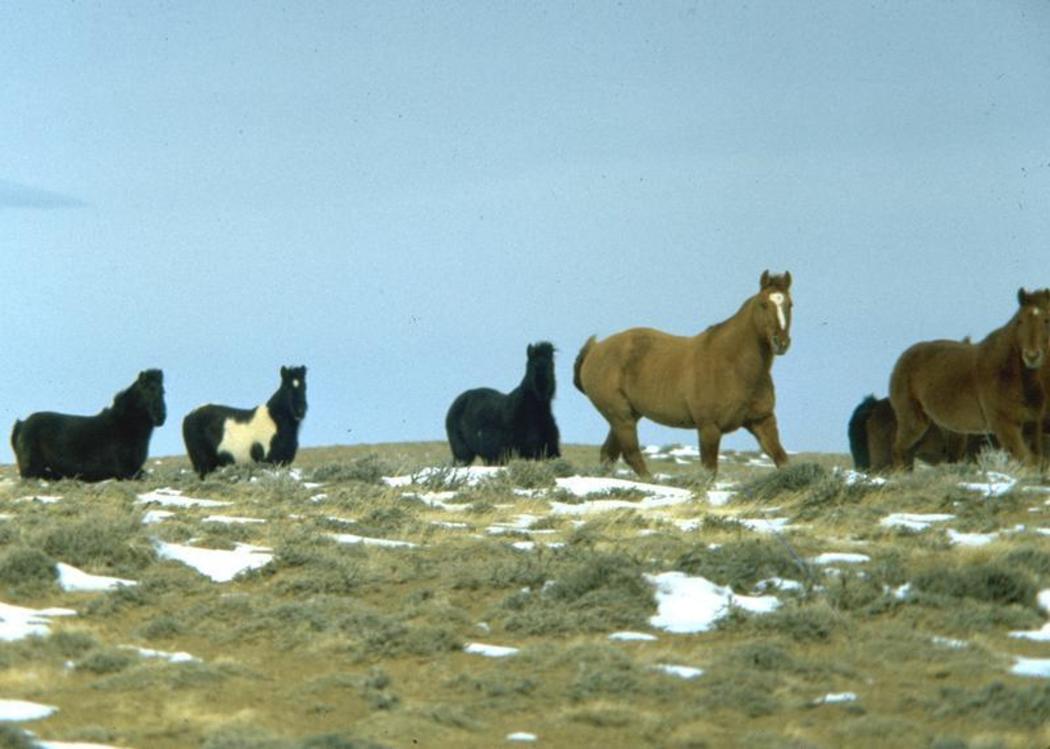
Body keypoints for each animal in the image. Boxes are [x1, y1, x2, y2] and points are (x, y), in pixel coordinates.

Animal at [11, 369, 166, 481]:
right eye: (147, 390)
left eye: (163, 391)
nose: (161, 417)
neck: (123, 424)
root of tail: (22, 424)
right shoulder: (127, 471)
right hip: (32, 470)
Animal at [574, 270, 793, 477]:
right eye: (763, 304)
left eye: (790, 304)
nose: (780, 343)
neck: (734, 366)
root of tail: (595, 348)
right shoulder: (709, 428)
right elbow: (709, 471)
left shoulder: (762, 421)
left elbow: (782, 460)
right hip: (621, 418)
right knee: (631, 455)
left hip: (627, 417)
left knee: (608, 454)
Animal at [889, 288, 1050, 470]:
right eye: (1020, 321)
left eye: (1047, 320)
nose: (1032, 356)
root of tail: (903, 357)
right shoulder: (1005, 425)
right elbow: (1027, 459)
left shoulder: (1033, 425)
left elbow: (1036, 461)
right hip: (914, 420)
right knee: (900, 449)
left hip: (949, 428)